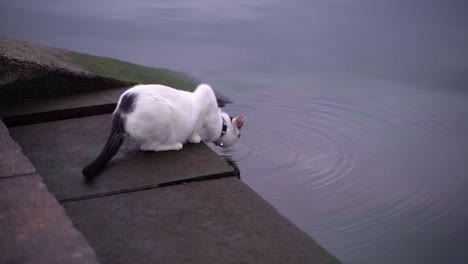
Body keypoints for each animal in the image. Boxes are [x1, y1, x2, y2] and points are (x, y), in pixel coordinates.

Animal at [82, 84, 247, 179]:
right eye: (239, 135)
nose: (238, 138)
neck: (220, 123)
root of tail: (121, 112)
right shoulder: (204, 99)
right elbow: (195, 129)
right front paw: (195, 138)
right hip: (163, 119)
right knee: (148, 147)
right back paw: (175, 145)